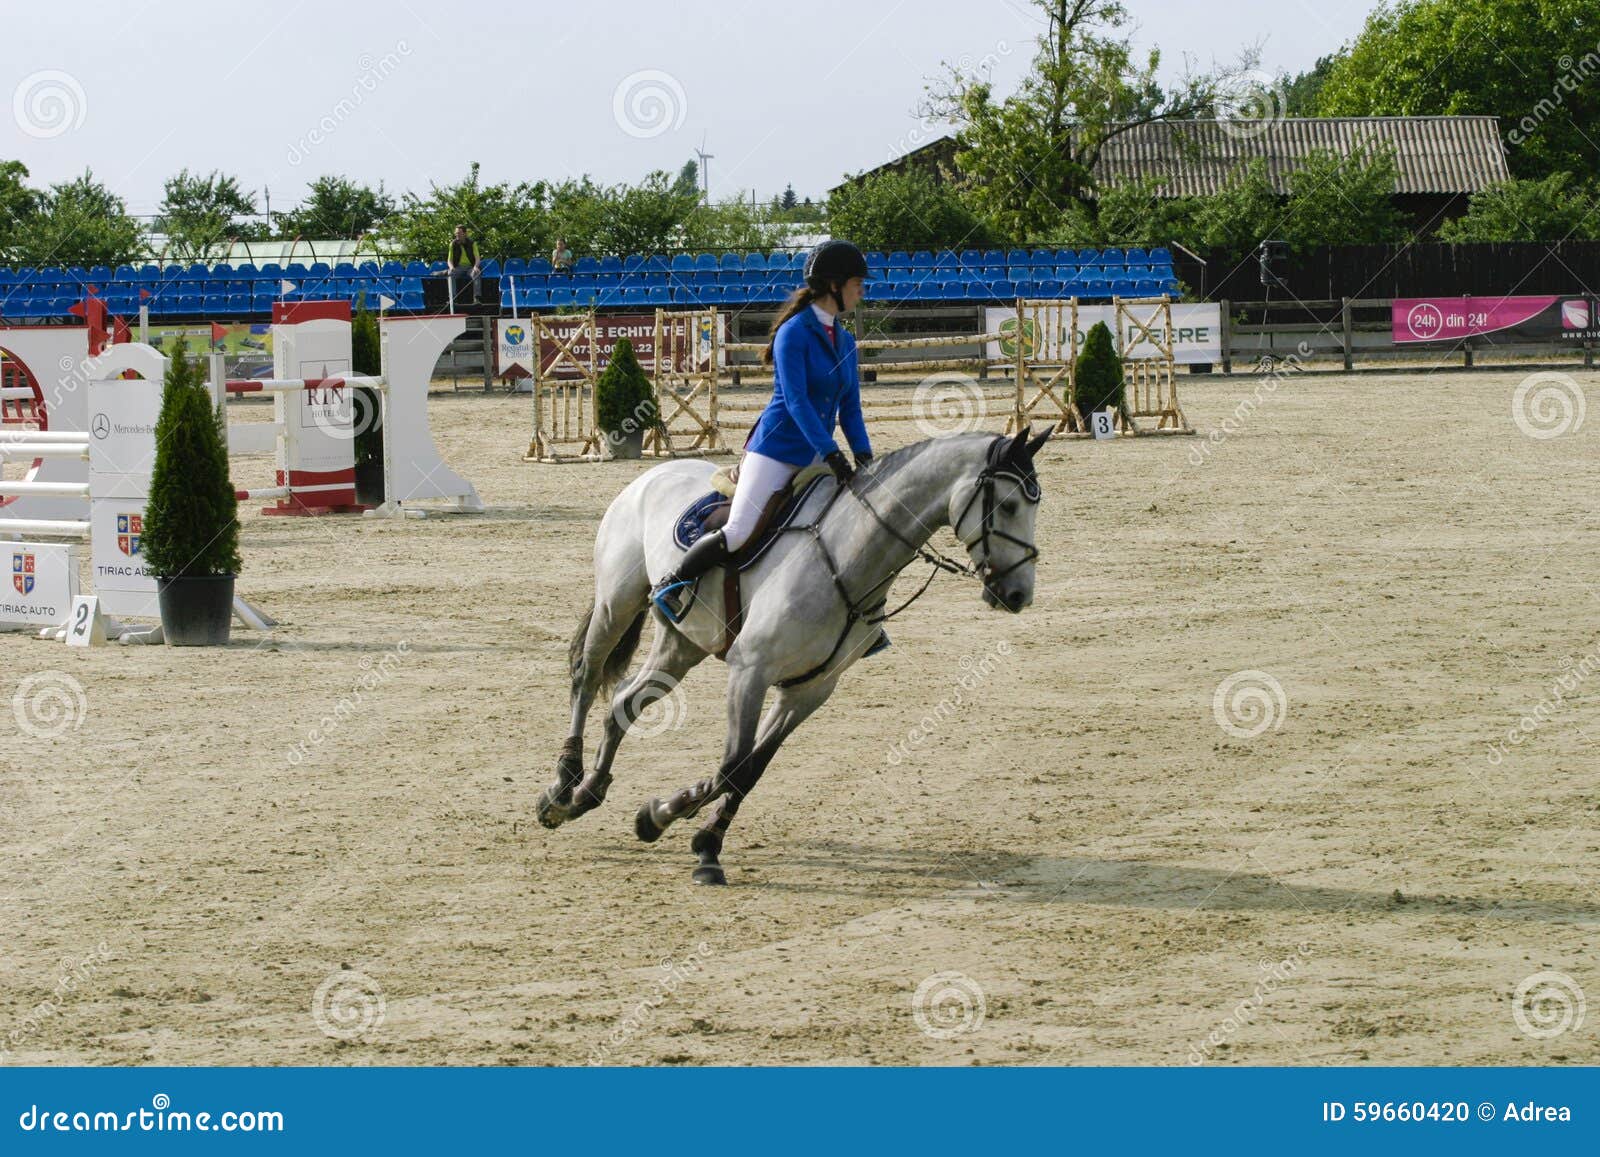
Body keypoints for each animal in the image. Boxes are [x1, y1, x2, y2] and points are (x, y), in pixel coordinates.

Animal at [537, 425, 1050, 884]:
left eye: (1034, 506)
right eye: (1007, 505)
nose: (1019, 595)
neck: (849, 558)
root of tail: (651, 475)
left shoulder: (810, 690)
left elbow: (749, 771)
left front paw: (692, 836)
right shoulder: (750, 671)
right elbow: (731, 766)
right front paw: (665, 819)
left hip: (683, 644)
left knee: (625, 704)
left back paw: (587, 795)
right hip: (616, 604)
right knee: (587, 677)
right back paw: (562, 788)